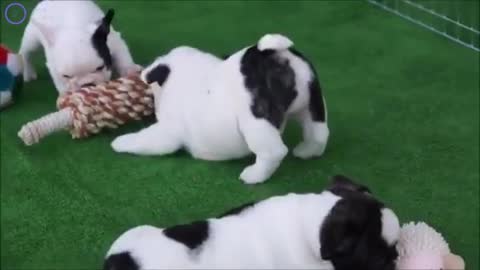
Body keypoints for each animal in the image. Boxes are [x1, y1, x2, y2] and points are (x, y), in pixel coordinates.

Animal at [112, 33, 330, 185]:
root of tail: (276, 56)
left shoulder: (167, 133)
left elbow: (145, 140)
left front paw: (120, 142)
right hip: (313, 103)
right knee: (318, 132)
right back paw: (308, 151)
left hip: (256, 123)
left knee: (273, 151)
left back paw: (254, 175)